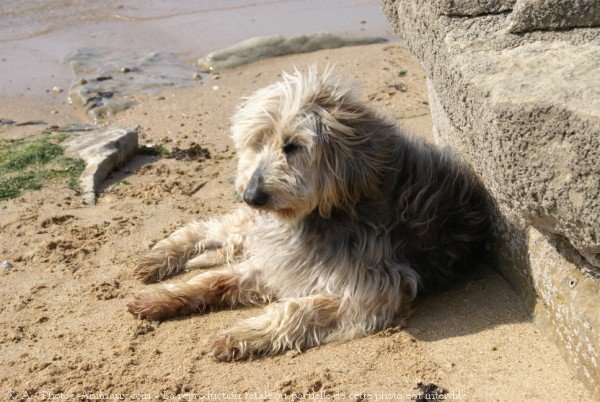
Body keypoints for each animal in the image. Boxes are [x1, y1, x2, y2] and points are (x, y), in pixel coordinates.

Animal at [126, 66, 488, 362]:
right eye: (256, 142)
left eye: (293, 146)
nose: (251, 196)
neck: (334, 208)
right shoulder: (282, 261)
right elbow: (212, 279)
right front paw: (163, 297)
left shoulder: (371, 292)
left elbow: (295, 308)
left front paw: (242, 334)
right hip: (247, 230)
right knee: (205, 229)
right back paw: (158, 257)